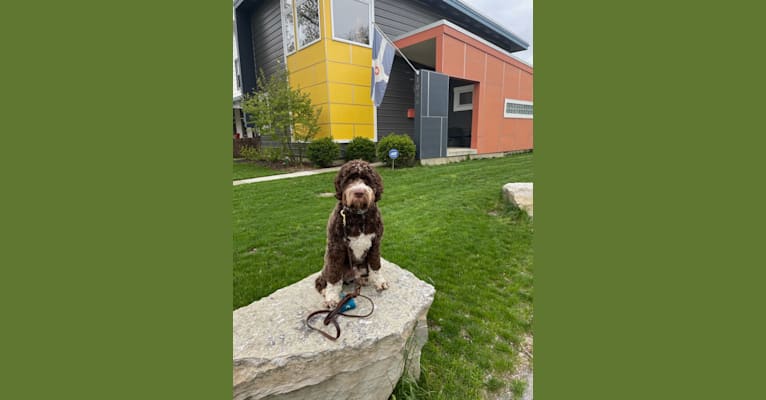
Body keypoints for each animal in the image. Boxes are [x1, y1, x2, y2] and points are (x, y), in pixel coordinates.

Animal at [316, 158, 390, 308]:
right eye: (350, 179)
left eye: (366, 179)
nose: (359, 192)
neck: (358, 215)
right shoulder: (336, 247)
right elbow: (334, 275)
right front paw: (331, 297)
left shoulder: (375, 243)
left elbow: (375, 264)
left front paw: (379, 281)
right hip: (328, 265)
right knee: (324, 279)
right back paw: (325, 290)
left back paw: (362, 280)